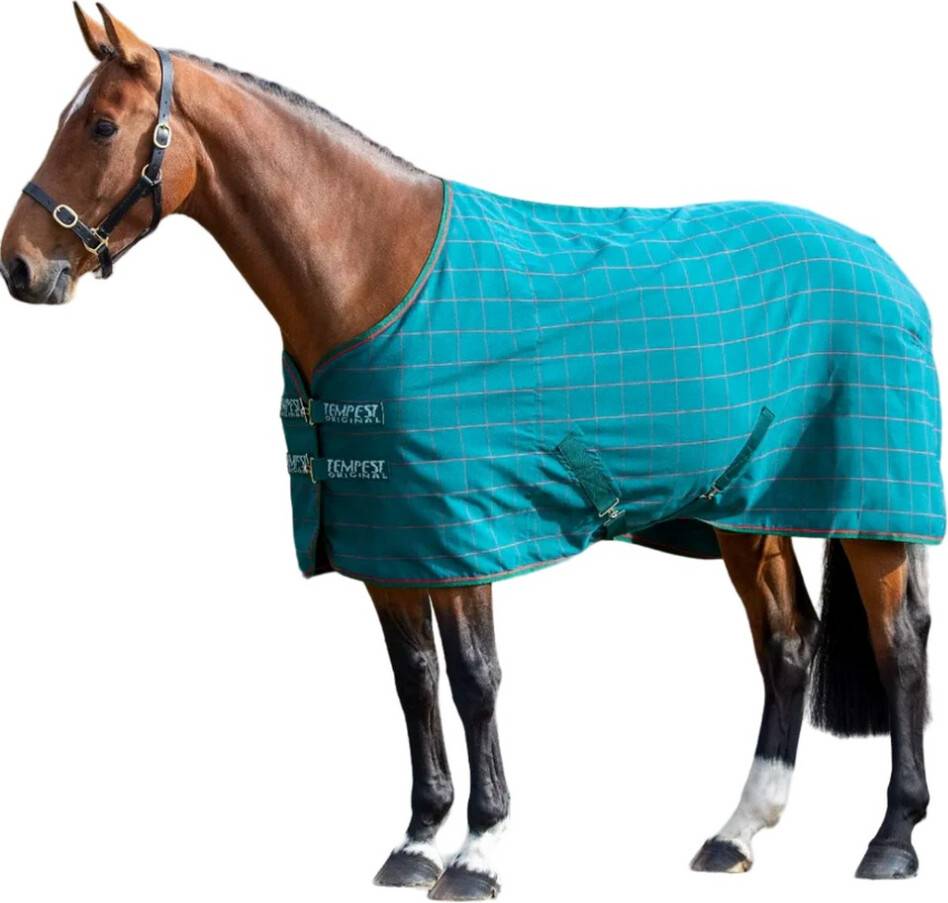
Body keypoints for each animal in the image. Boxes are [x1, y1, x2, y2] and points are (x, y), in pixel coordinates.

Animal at [1, 6, 939, 898]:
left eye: (102, 127)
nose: (20, 265)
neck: (374, 275)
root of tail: (884, 265)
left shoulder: (462, 535)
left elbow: (475, 680)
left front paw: (480, 851)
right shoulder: (386, 538)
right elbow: (414, 681)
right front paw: (417, 842)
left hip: (874, 508)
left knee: (898, 643)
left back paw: (892, 838)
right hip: (747, 511)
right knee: (788, 641)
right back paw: (737, 832)